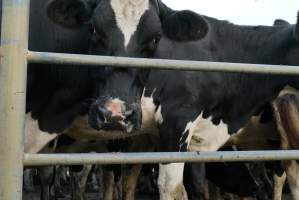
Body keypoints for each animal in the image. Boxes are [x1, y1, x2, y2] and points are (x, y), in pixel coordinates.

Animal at [46, 0, 299, 199]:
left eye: (156, 38)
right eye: (93, 30)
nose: (255, 189)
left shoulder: (198, 140)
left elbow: (196, 185)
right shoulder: (176, 122)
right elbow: (173, 189)